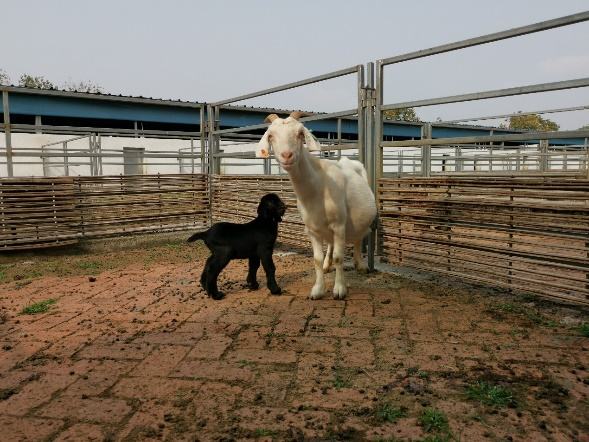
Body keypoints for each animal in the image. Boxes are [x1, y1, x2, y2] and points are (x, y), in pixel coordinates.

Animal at [256, 111, 377, 300]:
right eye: (270, 135)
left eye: (300, 133)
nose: (287, 155)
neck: (318, 187)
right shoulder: (311, 229)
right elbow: (317, 259)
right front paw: (318, 289)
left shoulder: (339, 225)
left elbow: (339, 257)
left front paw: (339, 289)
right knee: (332, 244)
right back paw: (327, 266)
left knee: (358, 238)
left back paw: (360, 265)